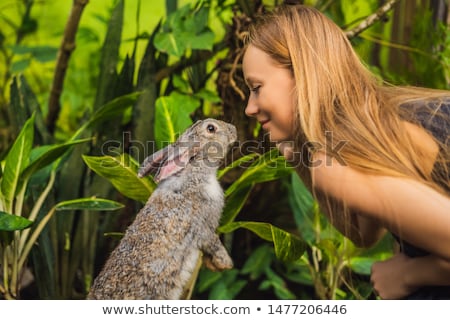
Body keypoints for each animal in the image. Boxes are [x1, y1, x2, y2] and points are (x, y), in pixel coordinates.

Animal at [86, 118, 237, 300]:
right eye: (210, 128)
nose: (234, 130)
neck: (194, 172)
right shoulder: (203, 226)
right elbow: (213, 242)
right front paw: (225, 264)